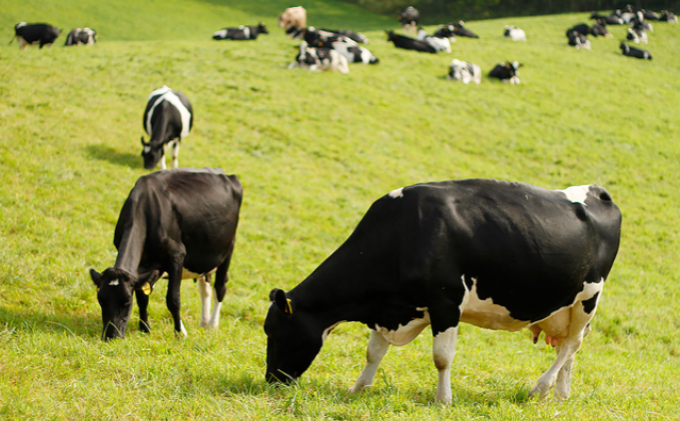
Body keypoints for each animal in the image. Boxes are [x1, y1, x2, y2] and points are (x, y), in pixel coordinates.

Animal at [89, 166, 240, 340]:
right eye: (101, 300)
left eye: (127, 301)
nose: (111, 336)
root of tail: (222, 172)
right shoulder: (144, 267)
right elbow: (142, 295)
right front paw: (145, 328)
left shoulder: (177, 255)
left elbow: (173, 299)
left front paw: (180, 332)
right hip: (204, 259)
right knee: (205, 288)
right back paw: (204, 322)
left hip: (228, 249)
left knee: (220, 287)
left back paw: (213, 325)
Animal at [264, 179, 620, 402]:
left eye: (275, 331)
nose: (271, 380)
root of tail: (597, 192)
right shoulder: (389, 307)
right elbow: (374, 352)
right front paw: (357, 389)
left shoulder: (446, 302)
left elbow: (441, 357)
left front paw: (443, 399)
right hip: (568, 308)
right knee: (569, 348)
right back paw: (561, 394)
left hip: (589, 297)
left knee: (570, 344)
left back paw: (540, 388)